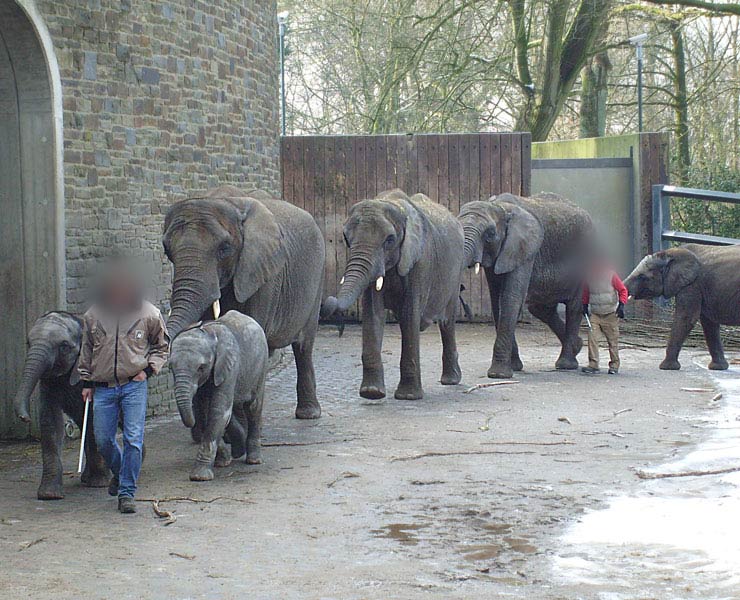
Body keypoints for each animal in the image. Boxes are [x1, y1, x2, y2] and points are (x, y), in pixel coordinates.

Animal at [13, 312, 109, 500]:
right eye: (28, 343)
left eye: (64, 346)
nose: (25, 418)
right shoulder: (49, 383)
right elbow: (51, 422)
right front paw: (49, 495)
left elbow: (93, 417)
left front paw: (100, 483)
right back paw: (87, 478)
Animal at [163, 185, 326, 424]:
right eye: (167, 250)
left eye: (224, 248)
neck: (227, 202)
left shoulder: (263, 274)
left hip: (317, 280)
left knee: (304, 346)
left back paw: (308, 415)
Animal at [169, 312, 270, 480]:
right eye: (171, 368)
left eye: (201, 367)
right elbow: (205, 414)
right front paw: (223, 462)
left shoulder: (229, 366)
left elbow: (217, 411)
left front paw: (199, 477)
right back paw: (238, 450)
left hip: (260, 365)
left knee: (253, 408)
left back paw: (254, 460)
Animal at [322, 190, 462, 400]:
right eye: (346, 238)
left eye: (389, 240)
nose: (327, 302)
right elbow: (373, 314)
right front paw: (372, 393)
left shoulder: (420, 262)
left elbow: (409, 315)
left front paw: (408, 397)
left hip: (454, 276)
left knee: (447, 323)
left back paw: (451, 381)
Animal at [456, 192, 596, 378]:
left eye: (490, 233)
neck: (500, 207)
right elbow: (498, 303)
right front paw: (514, 367)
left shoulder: (524, 250)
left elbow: (510, 299)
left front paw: (499, 375)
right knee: (540, 309)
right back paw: (577, 346)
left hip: (587, 257)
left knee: (574, 306)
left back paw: (566, 364)